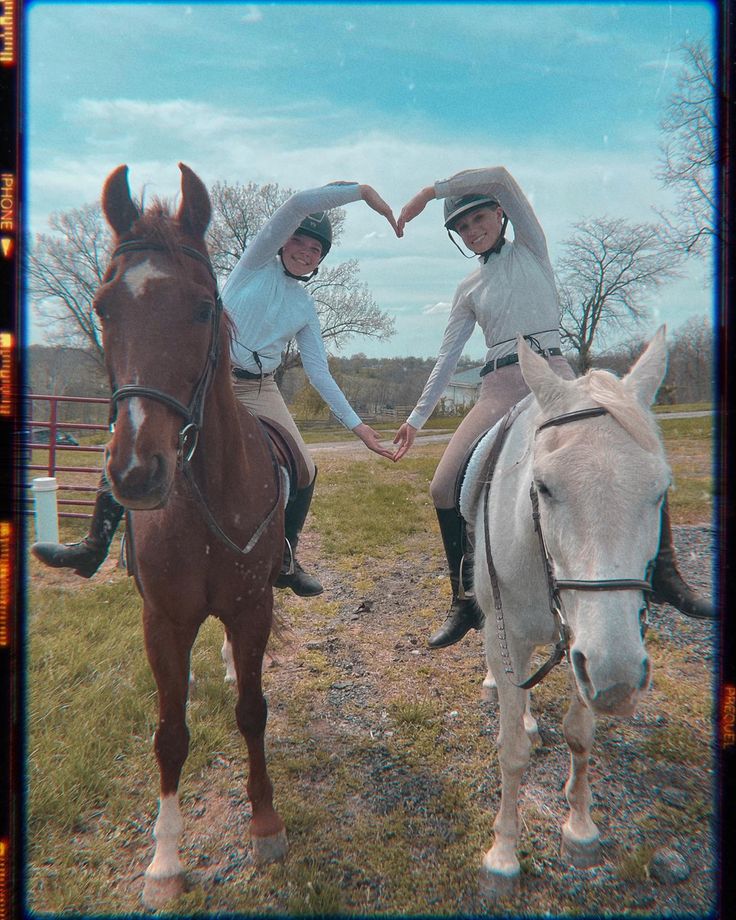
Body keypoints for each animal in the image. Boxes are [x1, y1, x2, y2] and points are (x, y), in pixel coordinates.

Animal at [95, 164, 284, 904]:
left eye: (204, 309)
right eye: (103, 309)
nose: (138, 472)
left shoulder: (252, 605)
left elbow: (253, 710)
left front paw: (264, 825)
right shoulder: (164, 620)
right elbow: (169, 734)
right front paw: (165, 861)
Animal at [460, 328, 672, 896]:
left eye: (660, 492)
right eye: (545, 487)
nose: (619, 680)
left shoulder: (587, 646)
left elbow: (580, 736)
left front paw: (579, 829)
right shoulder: (508, 636)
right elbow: (511, 749)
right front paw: (503, 857)